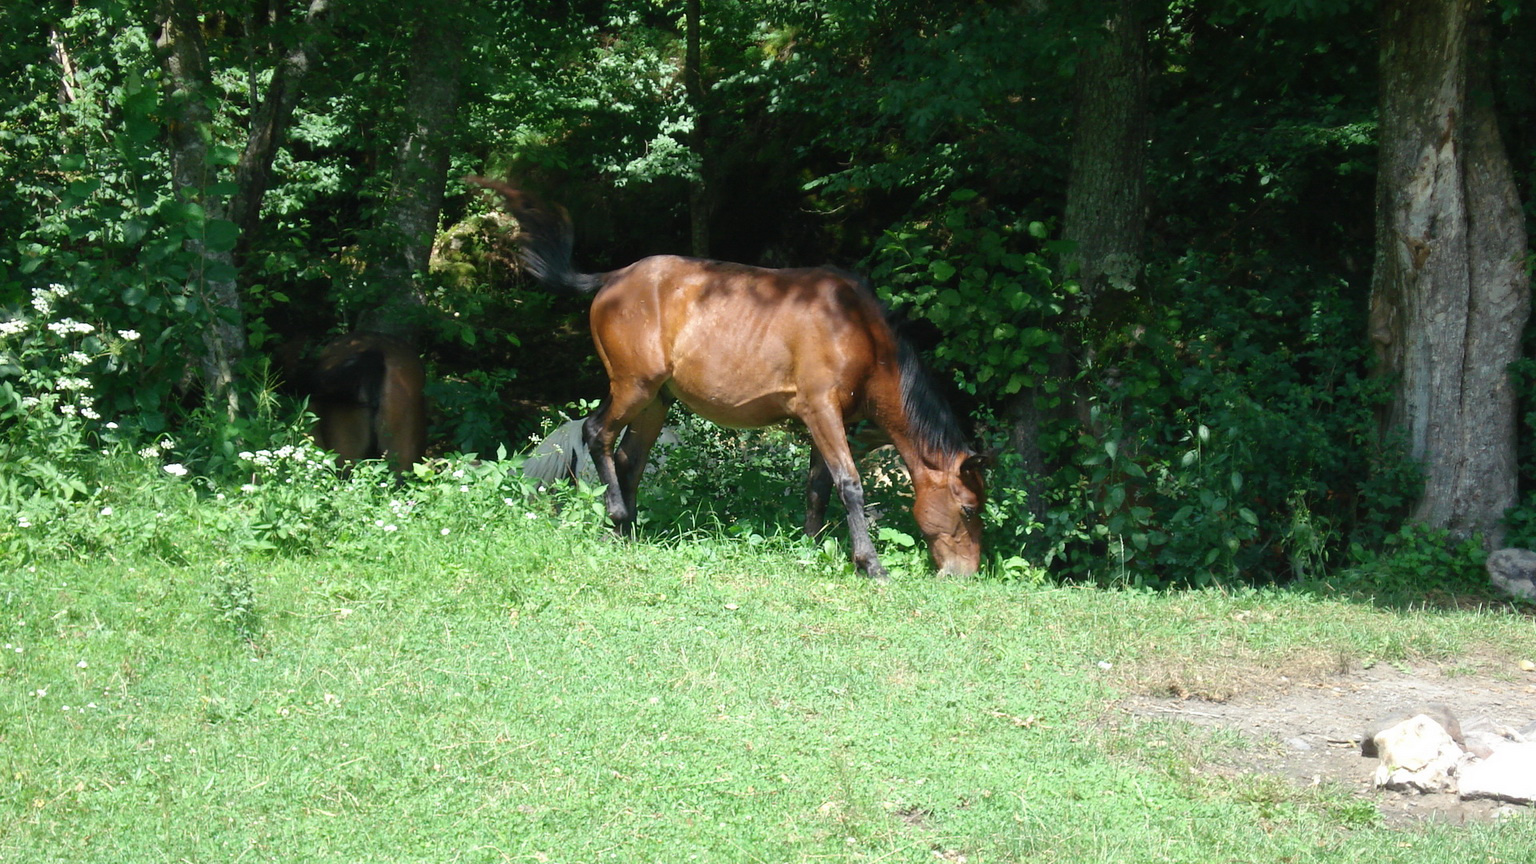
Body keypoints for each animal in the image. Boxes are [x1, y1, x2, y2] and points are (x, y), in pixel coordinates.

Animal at [466, 176, 989, 578]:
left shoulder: (830, 422)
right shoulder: (821, 411)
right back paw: (616, 518)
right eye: (968, 508)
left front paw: (814, 547)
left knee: (629, 460)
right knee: (597, 434)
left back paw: (626, 532)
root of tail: (611, 278)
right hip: (633, 388)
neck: (858, 330)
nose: (964, 574)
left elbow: (818, 487)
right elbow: (850, 484)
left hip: (656, 402)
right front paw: (870, 564)